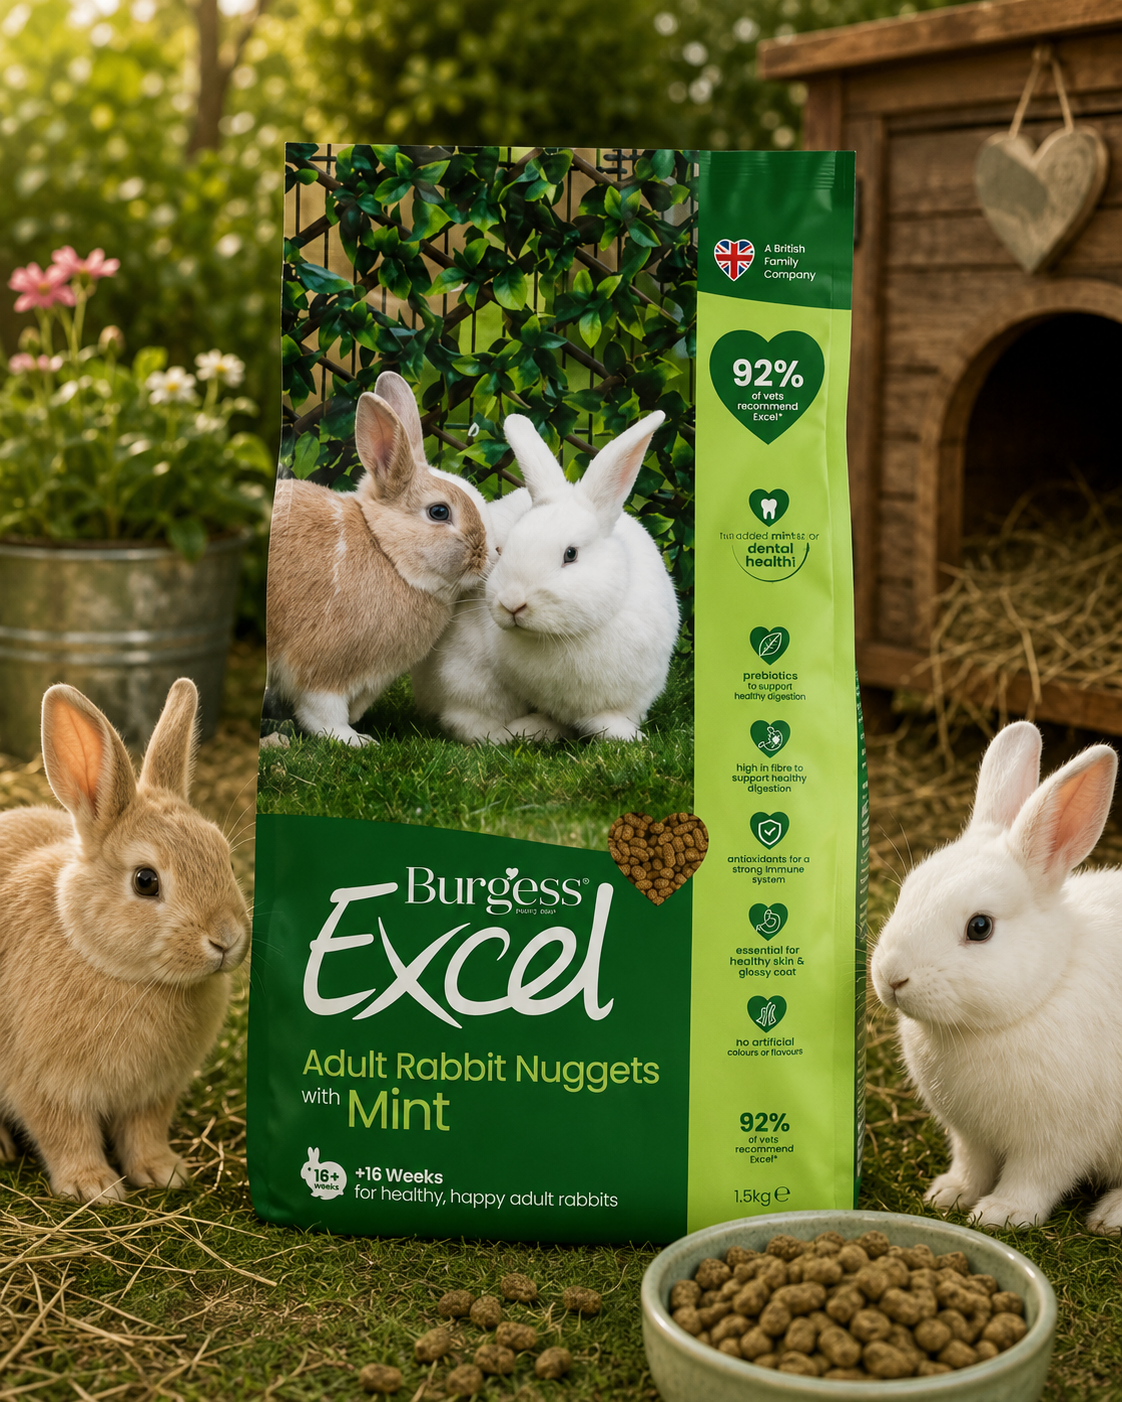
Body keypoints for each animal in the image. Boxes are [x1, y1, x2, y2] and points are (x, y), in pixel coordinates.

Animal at [0, 678, 249, 1202]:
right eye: (145, 881)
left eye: (222, 855)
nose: (226, 939)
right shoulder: (45, 1086)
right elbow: (65, 1135)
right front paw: (92, 1186)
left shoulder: (153, 1093)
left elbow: (145, 1132)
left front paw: (163, 1173)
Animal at [266, 378, 488, 746]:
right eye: (439, 512)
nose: (489, 553)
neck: (386, 552)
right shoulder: (322, 664)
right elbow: (322, 712)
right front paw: (355, 740)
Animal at [870, 719, 1122, 1234]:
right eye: (908, 890)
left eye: (980, 927)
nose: (891, 978)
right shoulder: (971, 1135)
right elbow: (973, 1164)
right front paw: (947, 1195)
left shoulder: (1059, 1139)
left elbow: (1036, 1178)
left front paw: (1000, 1214)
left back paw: (1110, 1216)